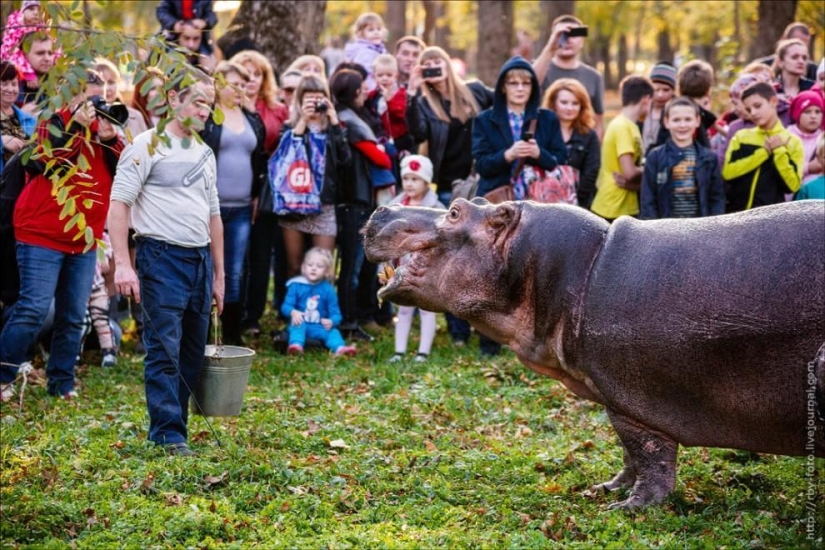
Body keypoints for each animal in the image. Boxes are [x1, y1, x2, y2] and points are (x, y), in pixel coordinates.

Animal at [363, 198, 825, 509]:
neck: (581, 267)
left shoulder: (631, 402)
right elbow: (628, 456)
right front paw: (604, 490)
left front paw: (628, 508)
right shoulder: (614, 397)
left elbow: (650, 458)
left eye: (457, 211)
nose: (383, 207)